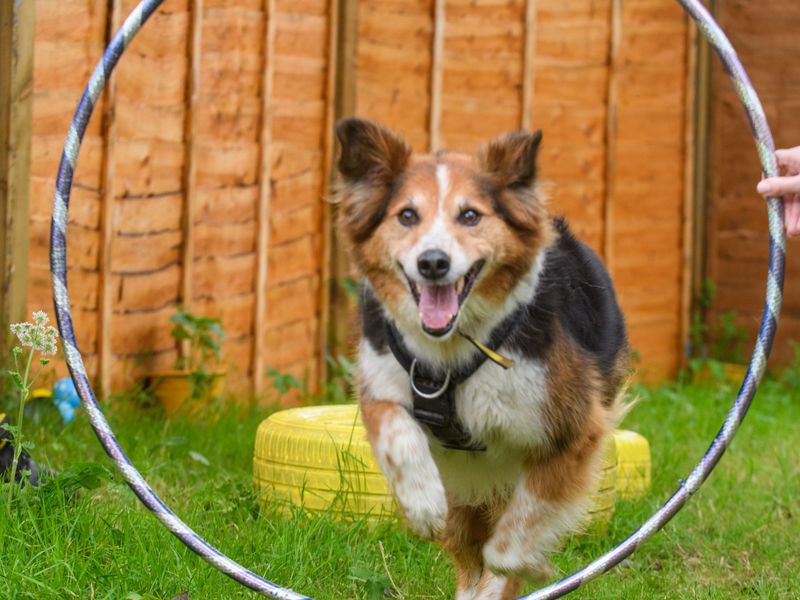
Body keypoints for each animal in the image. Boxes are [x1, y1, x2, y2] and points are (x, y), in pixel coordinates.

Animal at [334, 118, 628, 600]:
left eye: (470, 216)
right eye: (407, 215)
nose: (433, 262)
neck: (451, 350)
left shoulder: (573, 431)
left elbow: (516, 535)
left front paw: (527, 562)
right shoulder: (379, 386)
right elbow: (398, 432)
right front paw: (421, 502)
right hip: (462, 493)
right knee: (465, 548)